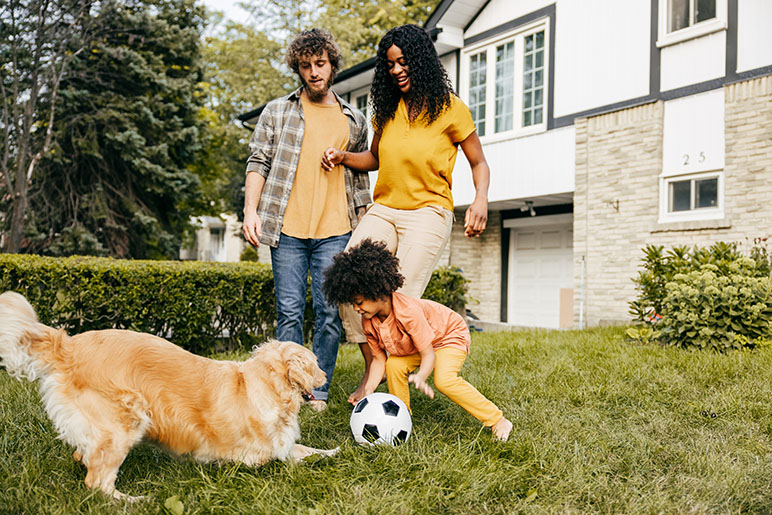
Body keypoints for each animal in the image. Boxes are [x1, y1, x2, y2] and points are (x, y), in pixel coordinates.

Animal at [0, 292, 338, 502]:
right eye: (315, 363)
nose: (324, 378)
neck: (266, 383)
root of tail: (68, 345)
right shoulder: (256, 459)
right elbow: (291, 457)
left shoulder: (281, 445)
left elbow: (308, 449)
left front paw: (335, 450)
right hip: (126, 421)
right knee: (97, 482)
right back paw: (134, 500)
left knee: (83, 458)